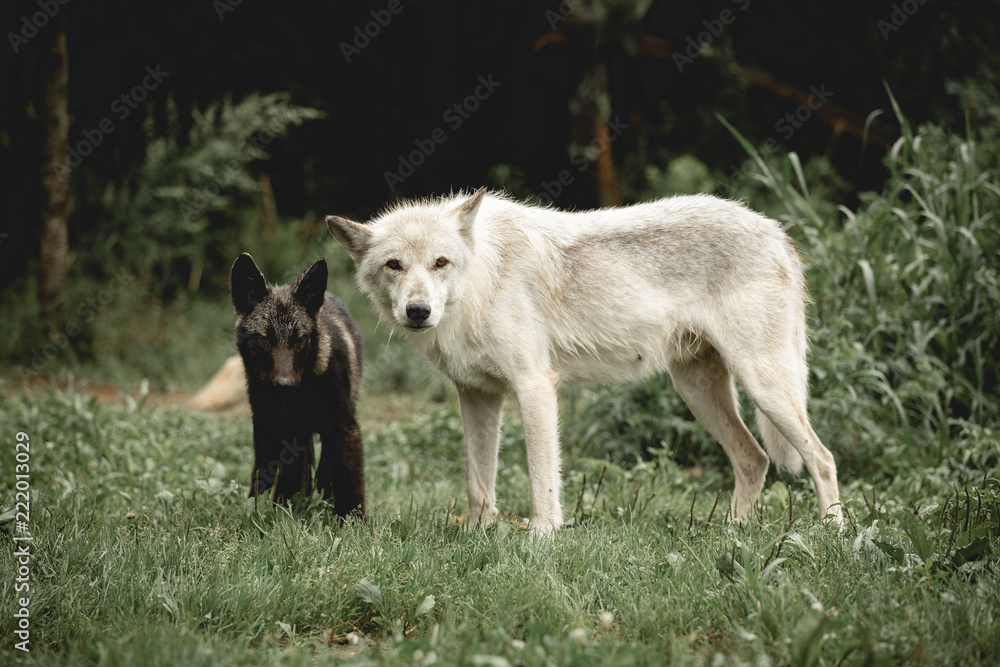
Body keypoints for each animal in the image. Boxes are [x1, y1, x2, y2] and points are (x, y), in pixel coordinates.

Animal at [231, 253, 365, 518]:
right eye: (264, 338)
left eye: (299, 339)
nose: (284, 384)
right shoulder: (274, 431)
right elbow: (267, 483)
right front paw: (264, 516)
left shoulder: (344, 427)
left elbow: (351, 484)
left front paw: (354, 522)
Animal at [326, 189, 842, 535]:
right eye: (393, 265)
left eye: (440, 263)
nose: (418, 312)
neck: (480, 284)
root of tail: (777, 232)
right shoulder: (478, 396)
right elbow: (478, 482)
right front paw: (477, 536)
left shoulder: (534, 387)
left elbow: (541, 478)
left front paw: (541, 539)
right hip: (698, 392)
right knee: (754, 459)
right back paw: (731, 535)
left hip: (763, 385)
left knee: (822, 457)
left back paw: (833, 536)